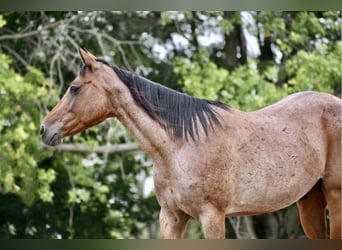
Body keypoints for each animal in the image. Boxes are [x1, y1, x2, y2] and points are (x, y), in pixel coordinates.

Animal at [40, 48, 342, 238]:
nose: (45, 129)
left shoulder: (213, 218)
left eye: (74, 88)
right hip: (310, 201)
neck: (179, 147)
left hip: (335, 196)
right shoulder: (171, 218)